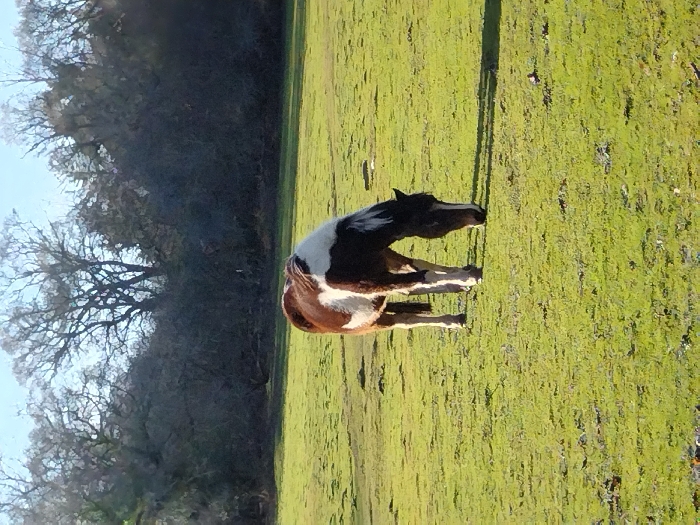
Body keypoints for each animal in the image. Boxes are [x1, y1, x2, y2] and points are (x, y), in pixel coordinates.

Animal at [281, 190, 486, 334]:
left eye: (434, 199)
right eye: (430, 222)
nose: (479, 213)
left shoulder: (386, 258)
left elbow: (420, 266)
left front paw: (465, 274)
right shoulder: (375, 282)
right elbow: (426, 275)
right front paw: (471, 277)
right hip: (372, 322)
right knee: (406, 320)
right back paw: (454, 320)